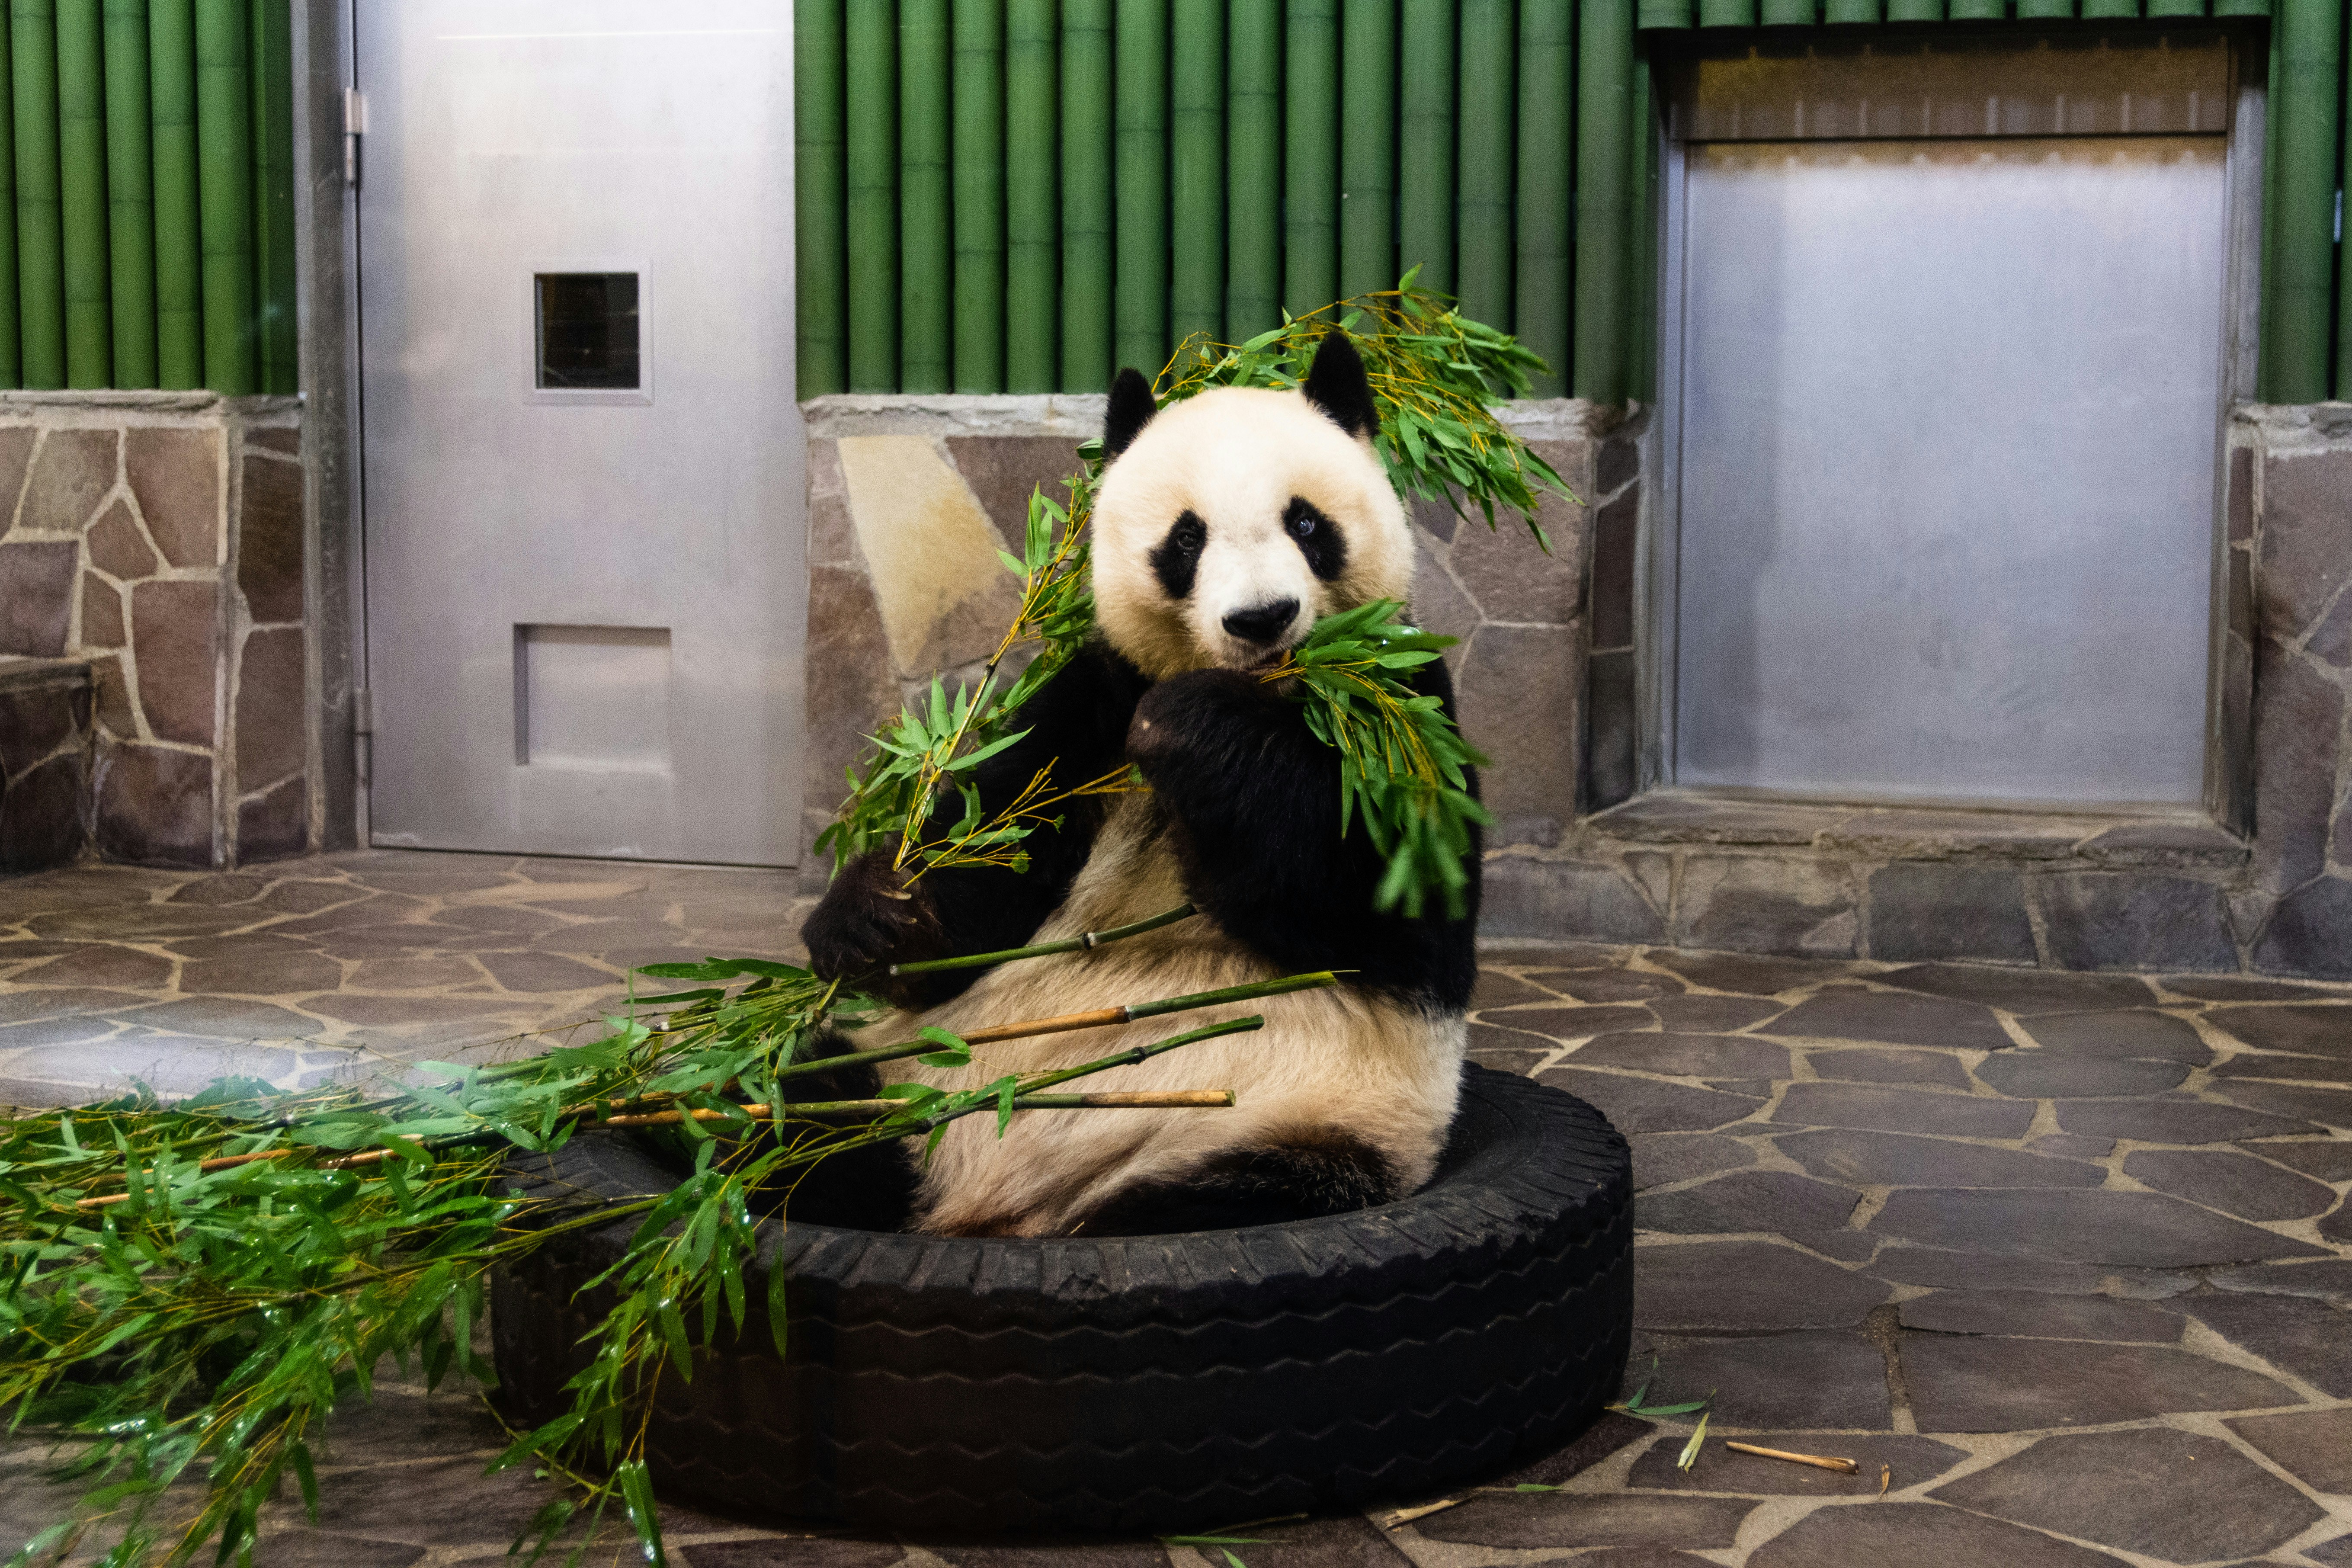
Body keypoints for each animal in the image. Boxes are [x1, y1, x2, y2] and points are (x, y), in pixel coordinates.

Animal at [799, 333, 1477, 1241]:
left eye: (1305, 523)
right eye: (1185, 540)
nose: (1261, 619)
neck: (1272, 691)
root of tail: (985, 1211)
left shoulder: (1400, 710)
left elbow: (1387, 914)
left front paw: (1194, 730)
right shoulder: (1087, 712)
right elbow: (986, 878)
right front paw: (876, 917)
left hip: (1295, 1137)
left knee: (1204, 1210)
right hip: (911, 1080)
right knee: (783, 1117)